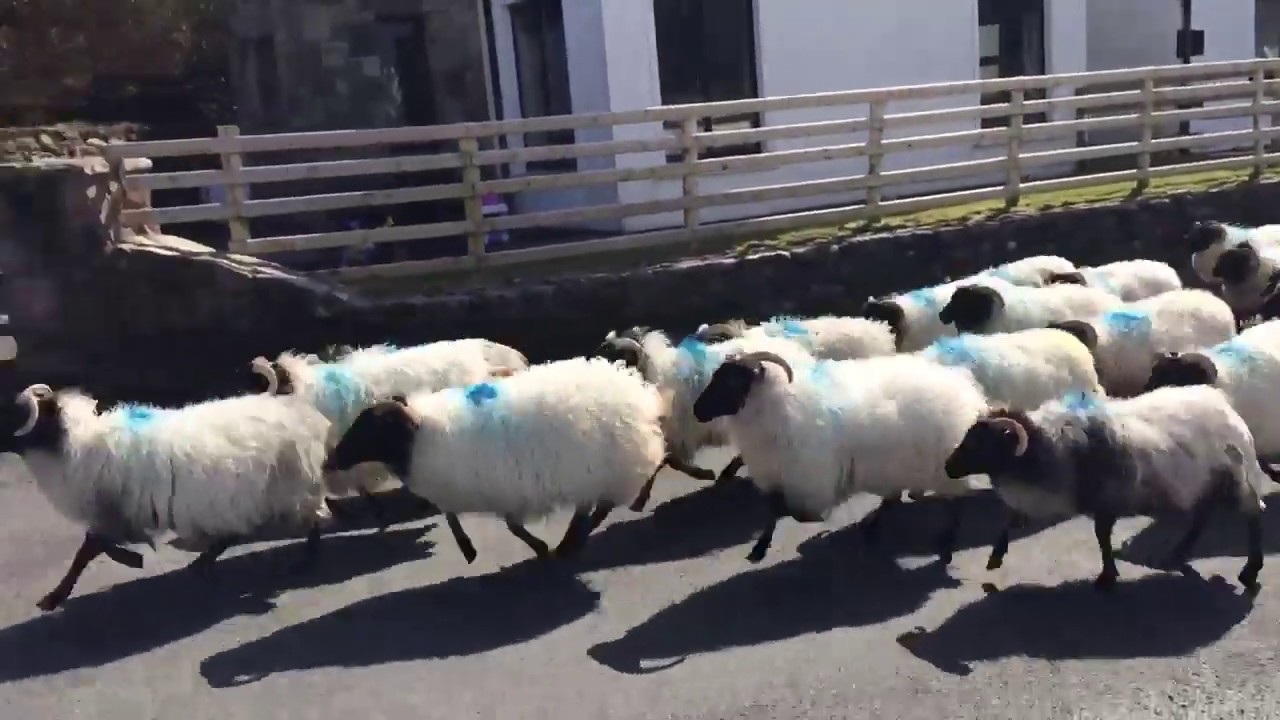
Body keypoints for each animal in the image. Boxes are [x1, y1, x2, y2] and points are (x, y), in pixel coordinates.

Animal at [1, 384, 333, 611]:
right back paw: (203, 562)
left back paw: (306, 560)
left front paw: (55, 597)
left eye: (12, 413)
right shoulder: (118, 514)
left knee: (314, 519)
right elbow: (93, 547)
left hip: (284, 488)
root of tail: (300, 413)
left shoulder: (116, 513)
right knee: (238, 532)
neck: (74, 444)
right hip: (243, 498)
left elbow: (89, 549)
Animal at [320, 356, 667, 563]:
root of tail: (634, 388)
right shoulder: (476, 488)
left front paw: (535, 548)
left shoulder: (498, 491)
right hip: (594, 471)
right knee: (594, 505)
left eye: (370, 427)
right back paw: (573, 539)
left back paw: (573, 540)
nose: (330, 460)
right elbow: (454, 516)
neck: (420, 437)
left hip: (611, 467)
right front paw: (469, 549)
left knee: (603, 504)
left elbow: (506, 526)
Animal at [692, 351, 990, 564]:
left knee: (955, 504)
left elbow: (788, 511)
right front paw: (760, 547)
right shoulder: (778, 475)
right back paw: (872, 526)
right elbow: (773, 510)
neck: (778, 405)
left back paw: (946, 545)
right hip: (898, 466)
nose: (697, 411)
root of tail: (963, 389)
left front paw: (813, 520)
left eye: (733, 380)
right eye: (716, 375)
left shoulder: (809, 477)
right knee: (894, 498)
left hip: (943, 468)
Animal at [943, 387, 1267, 593]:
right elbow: (1011, 520)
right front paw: (994, 558)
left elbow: (1102, 537)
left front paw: (1107, 576)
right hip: (1203, 484)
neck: (1049, 447)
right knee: (1202, 517)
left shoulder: (1104, 501)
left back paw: (1250, 571)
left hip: (1236, 480)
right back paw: (1177, 554)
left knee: (1252, 516)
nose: (948, 468)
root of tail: (1229, 411)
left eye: (980, 443)